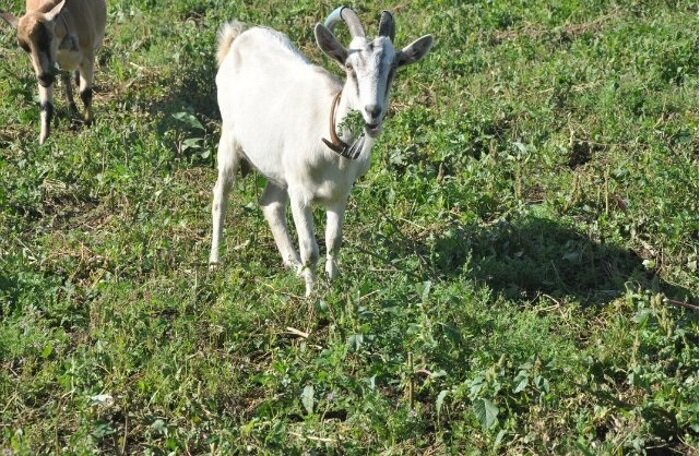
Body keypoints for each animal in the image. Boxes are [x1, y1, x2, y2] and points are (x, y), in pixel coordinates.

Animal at [0, 0, 105, 143]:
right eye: (24, 46)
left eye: (47, 38)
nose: (43, 78)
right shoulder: (47, 69)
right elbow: (46, 104)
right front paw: (43, 140)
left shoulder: (87, 56)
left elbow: (85, 92)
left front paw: (88, 122)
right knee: (65, 79)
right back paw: (72, 108)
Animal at [211, 8, 432, 298]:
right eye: (349, 67)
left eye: (394, 68)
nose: (372, 112)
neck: (331, 143)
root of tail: (237, 37)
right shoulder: (300, 195)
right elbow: (311, 250)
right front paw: (312, 297)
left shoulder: (339, 194)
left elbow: (333, 240)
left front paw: (332, 283)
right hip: (229, 141)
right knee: (220, 196)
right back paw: (215, 262)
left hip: (279, 170)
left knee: (270, 204)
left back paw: (292, 265)